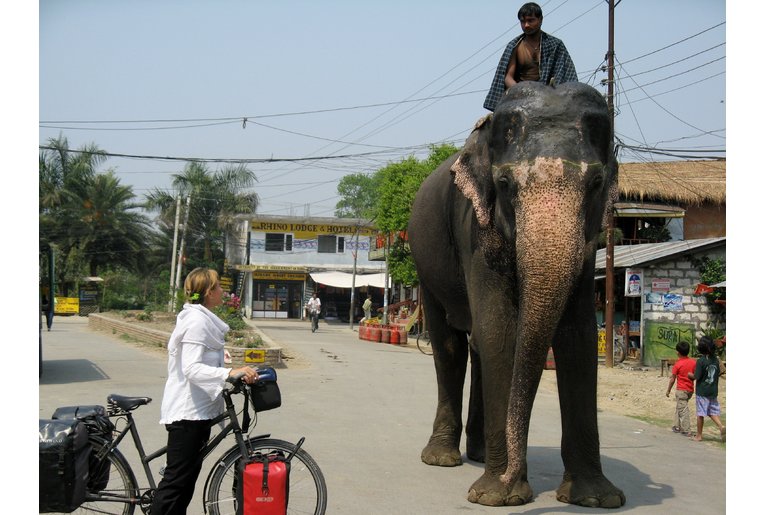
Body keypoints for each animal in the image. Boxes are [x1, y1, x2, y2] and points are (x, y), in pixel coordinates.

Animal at [408, 80, 624, 508]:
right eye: (506, 185)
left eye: (595, 185)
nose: (512, 473)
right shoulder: (475, 230)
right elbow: (501, 331)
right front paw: (498, 497)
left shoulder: (588, 245)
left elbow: (578, 337)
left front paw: (596, 499)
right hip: (427, 264)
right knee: (450, 344)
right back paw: (442, 458)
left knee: (476, 345)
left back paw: (476, 454)